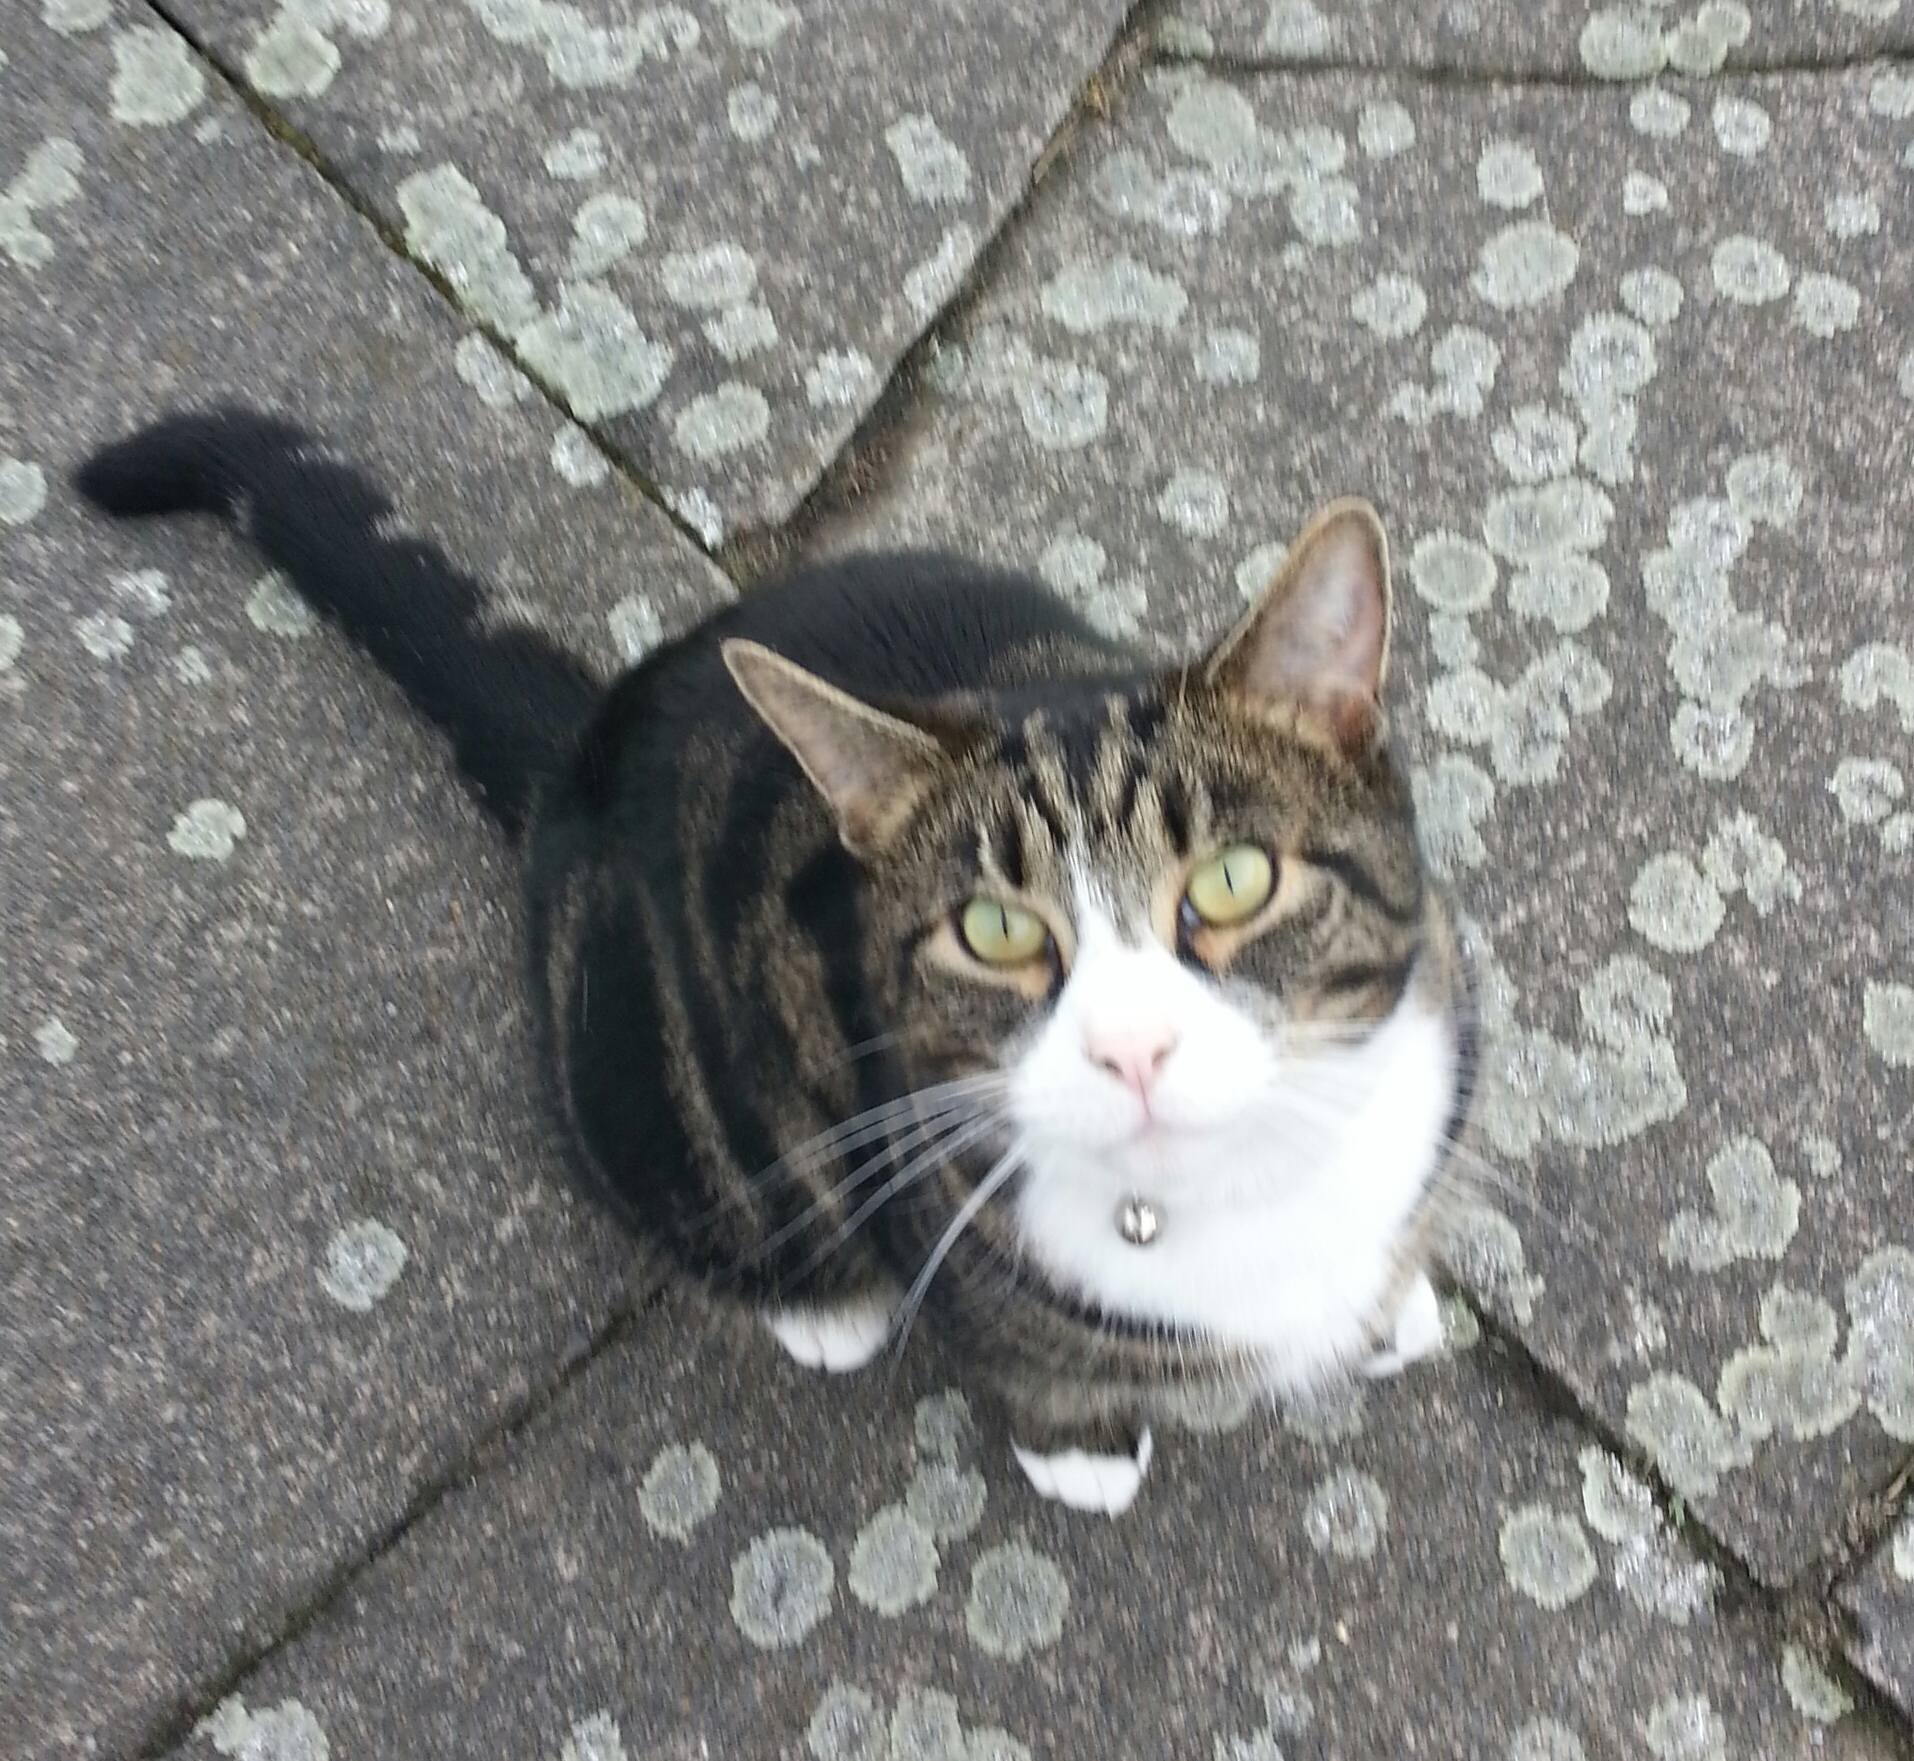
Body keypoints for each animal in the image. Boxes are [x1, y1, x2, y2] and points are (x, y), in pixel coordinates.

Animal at [76, 410, 1476, 1515]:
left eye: (1235, 881)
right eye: (997, 930)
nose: (1133, 1049)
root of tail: (582, 747)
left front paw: (1392, 1302)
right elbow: (1028, 1355)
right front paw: (1080, 1451)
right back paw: (824, 1307)